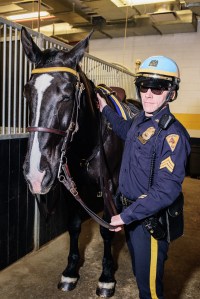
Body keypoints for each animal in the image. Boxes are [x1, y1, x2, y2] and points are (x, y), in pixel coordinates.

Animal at [21, 26, 138, 298]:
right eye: (27, 92)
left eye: (66, 95)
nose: (35, 174)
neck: (89, 142)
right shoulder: (69, 186)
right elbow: (74, 226)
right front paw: (70, 272)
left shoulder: (111, 187)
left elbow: (106, 229)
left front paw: (106, 277)